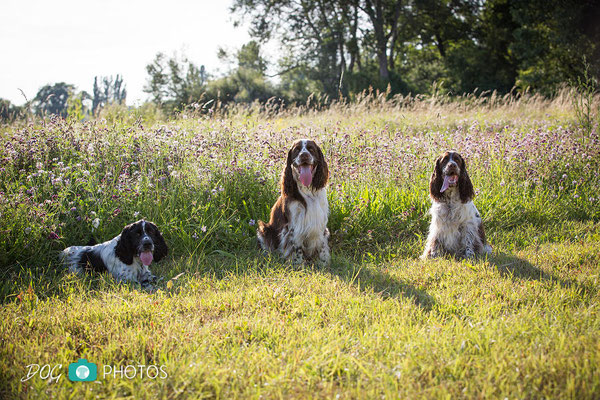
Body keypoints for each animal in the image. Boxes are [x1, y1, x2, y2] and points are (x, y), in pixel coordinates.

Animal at [258, 139, 332, 268]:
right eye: (297, 150)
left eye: (311, 149)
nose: (304, 155)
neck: (308, 191)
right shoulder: (294, 226)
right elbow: (296, 247)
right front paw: (298, 265)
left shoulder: (320, 224)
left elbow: (322, 246)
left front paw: (323, 263)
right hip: (264, 229)